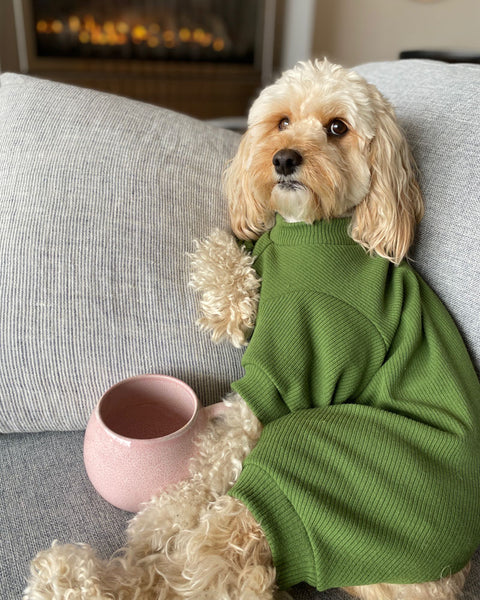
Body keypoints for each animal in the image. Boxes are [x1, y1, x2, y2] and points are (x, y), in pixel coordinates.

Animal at [24, 59, 478, 600]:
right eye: (281, 122)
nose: (283, 158)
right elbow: (221, 243)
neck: (309, 233)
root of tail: (442, 579)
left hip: (312, 459)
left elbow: (220, 452)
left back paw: (72, 576)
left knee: (209, 571)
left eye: (337, 128)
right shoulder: (257, 245)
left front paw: (166, 514)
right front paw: (231, 311)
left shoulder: (292, 372)